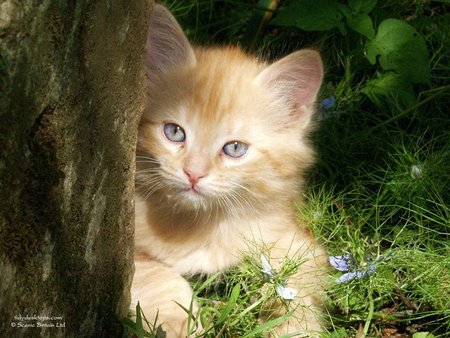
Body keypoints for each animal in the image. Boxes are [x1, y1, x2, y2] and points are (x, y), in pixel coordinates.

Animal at [133, 3, 326, 338]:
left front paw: (291, 327)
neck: (199, 225)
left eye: (234, 148)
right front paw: (178, 320)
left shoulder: (299, 244)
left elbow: (295, 291)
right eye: (174, 132)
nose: (194, 174)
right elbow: (155, 274)